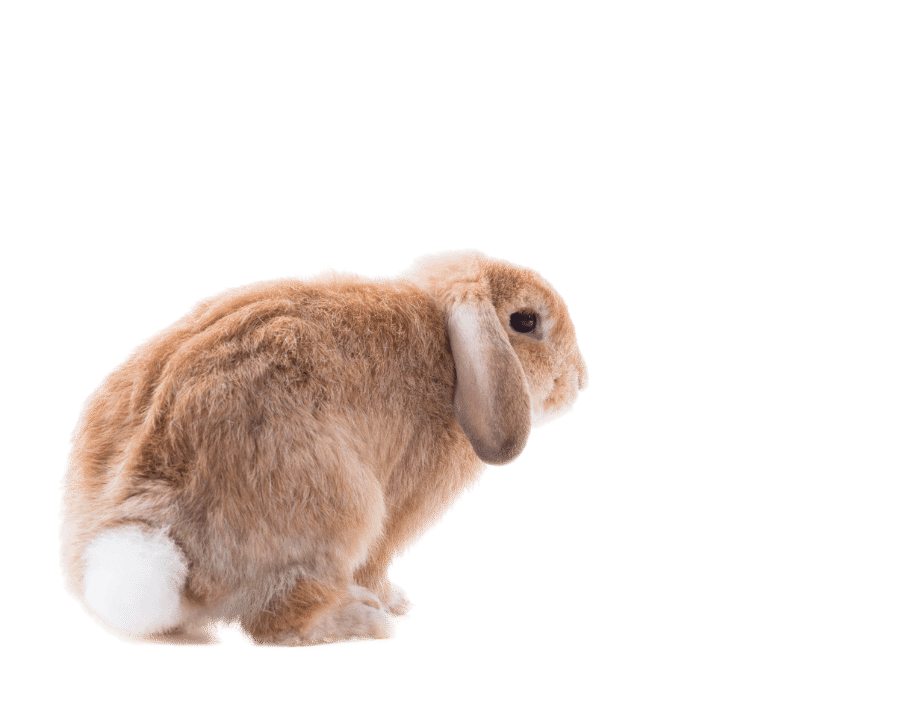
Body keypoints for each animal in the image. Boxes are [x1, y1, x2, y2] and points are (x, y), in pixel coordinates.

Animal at [59, 248, 589, 647]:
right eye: (525, 321)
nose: (580, 382)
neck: (452, 351)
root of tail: (148, 532)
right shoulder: (401, 513)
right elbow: (375, 563)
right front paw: (391, 600)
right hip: (343, 504)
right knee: (275, 619)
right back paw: (364, 618)